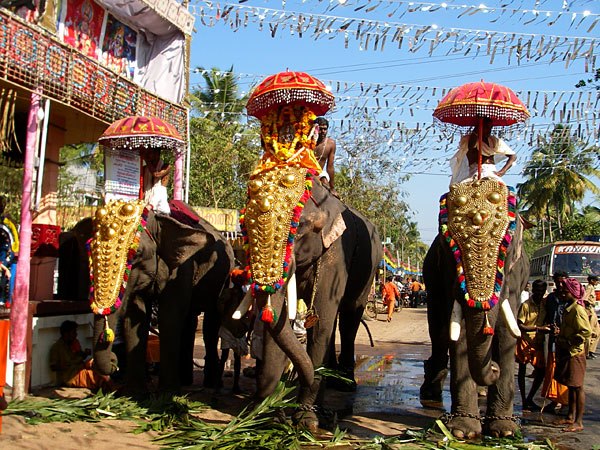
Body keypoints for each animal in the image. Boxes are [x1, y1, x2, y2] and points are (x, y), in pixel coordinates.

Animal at [64, 201, 233, 394]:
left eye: (136, 254)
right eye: (90, 253)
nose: (114, 362)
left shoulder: (182, 267)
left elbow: (170, 314)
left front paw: (167, 394)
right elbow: (135, 315)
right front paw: (135, 394)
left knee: (210, 324)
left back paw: (211, 383)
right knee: (190, 321)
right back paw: (185, 380)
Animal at [238, 169, 380, 432]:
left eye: (301, 225)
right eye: (245, 227)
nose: (277, 409)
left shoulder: (336, 255)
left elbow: (321, 319)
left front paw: (306, 422)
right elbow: (281, 321)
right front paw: (263, 417)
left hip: (370, 270)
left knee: (348, 318)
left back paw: (345, 383)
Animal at [420, 179, 528, 440]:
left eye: (507, 251)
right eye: (449, 249)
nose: (495, 368)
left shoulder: (514, 279)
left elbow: (507, 334)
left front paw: (505, 431)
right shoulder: (446, 277)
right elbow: (458, 335)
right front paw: (462, 431)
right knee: (439, 333)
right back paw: (431, 391)